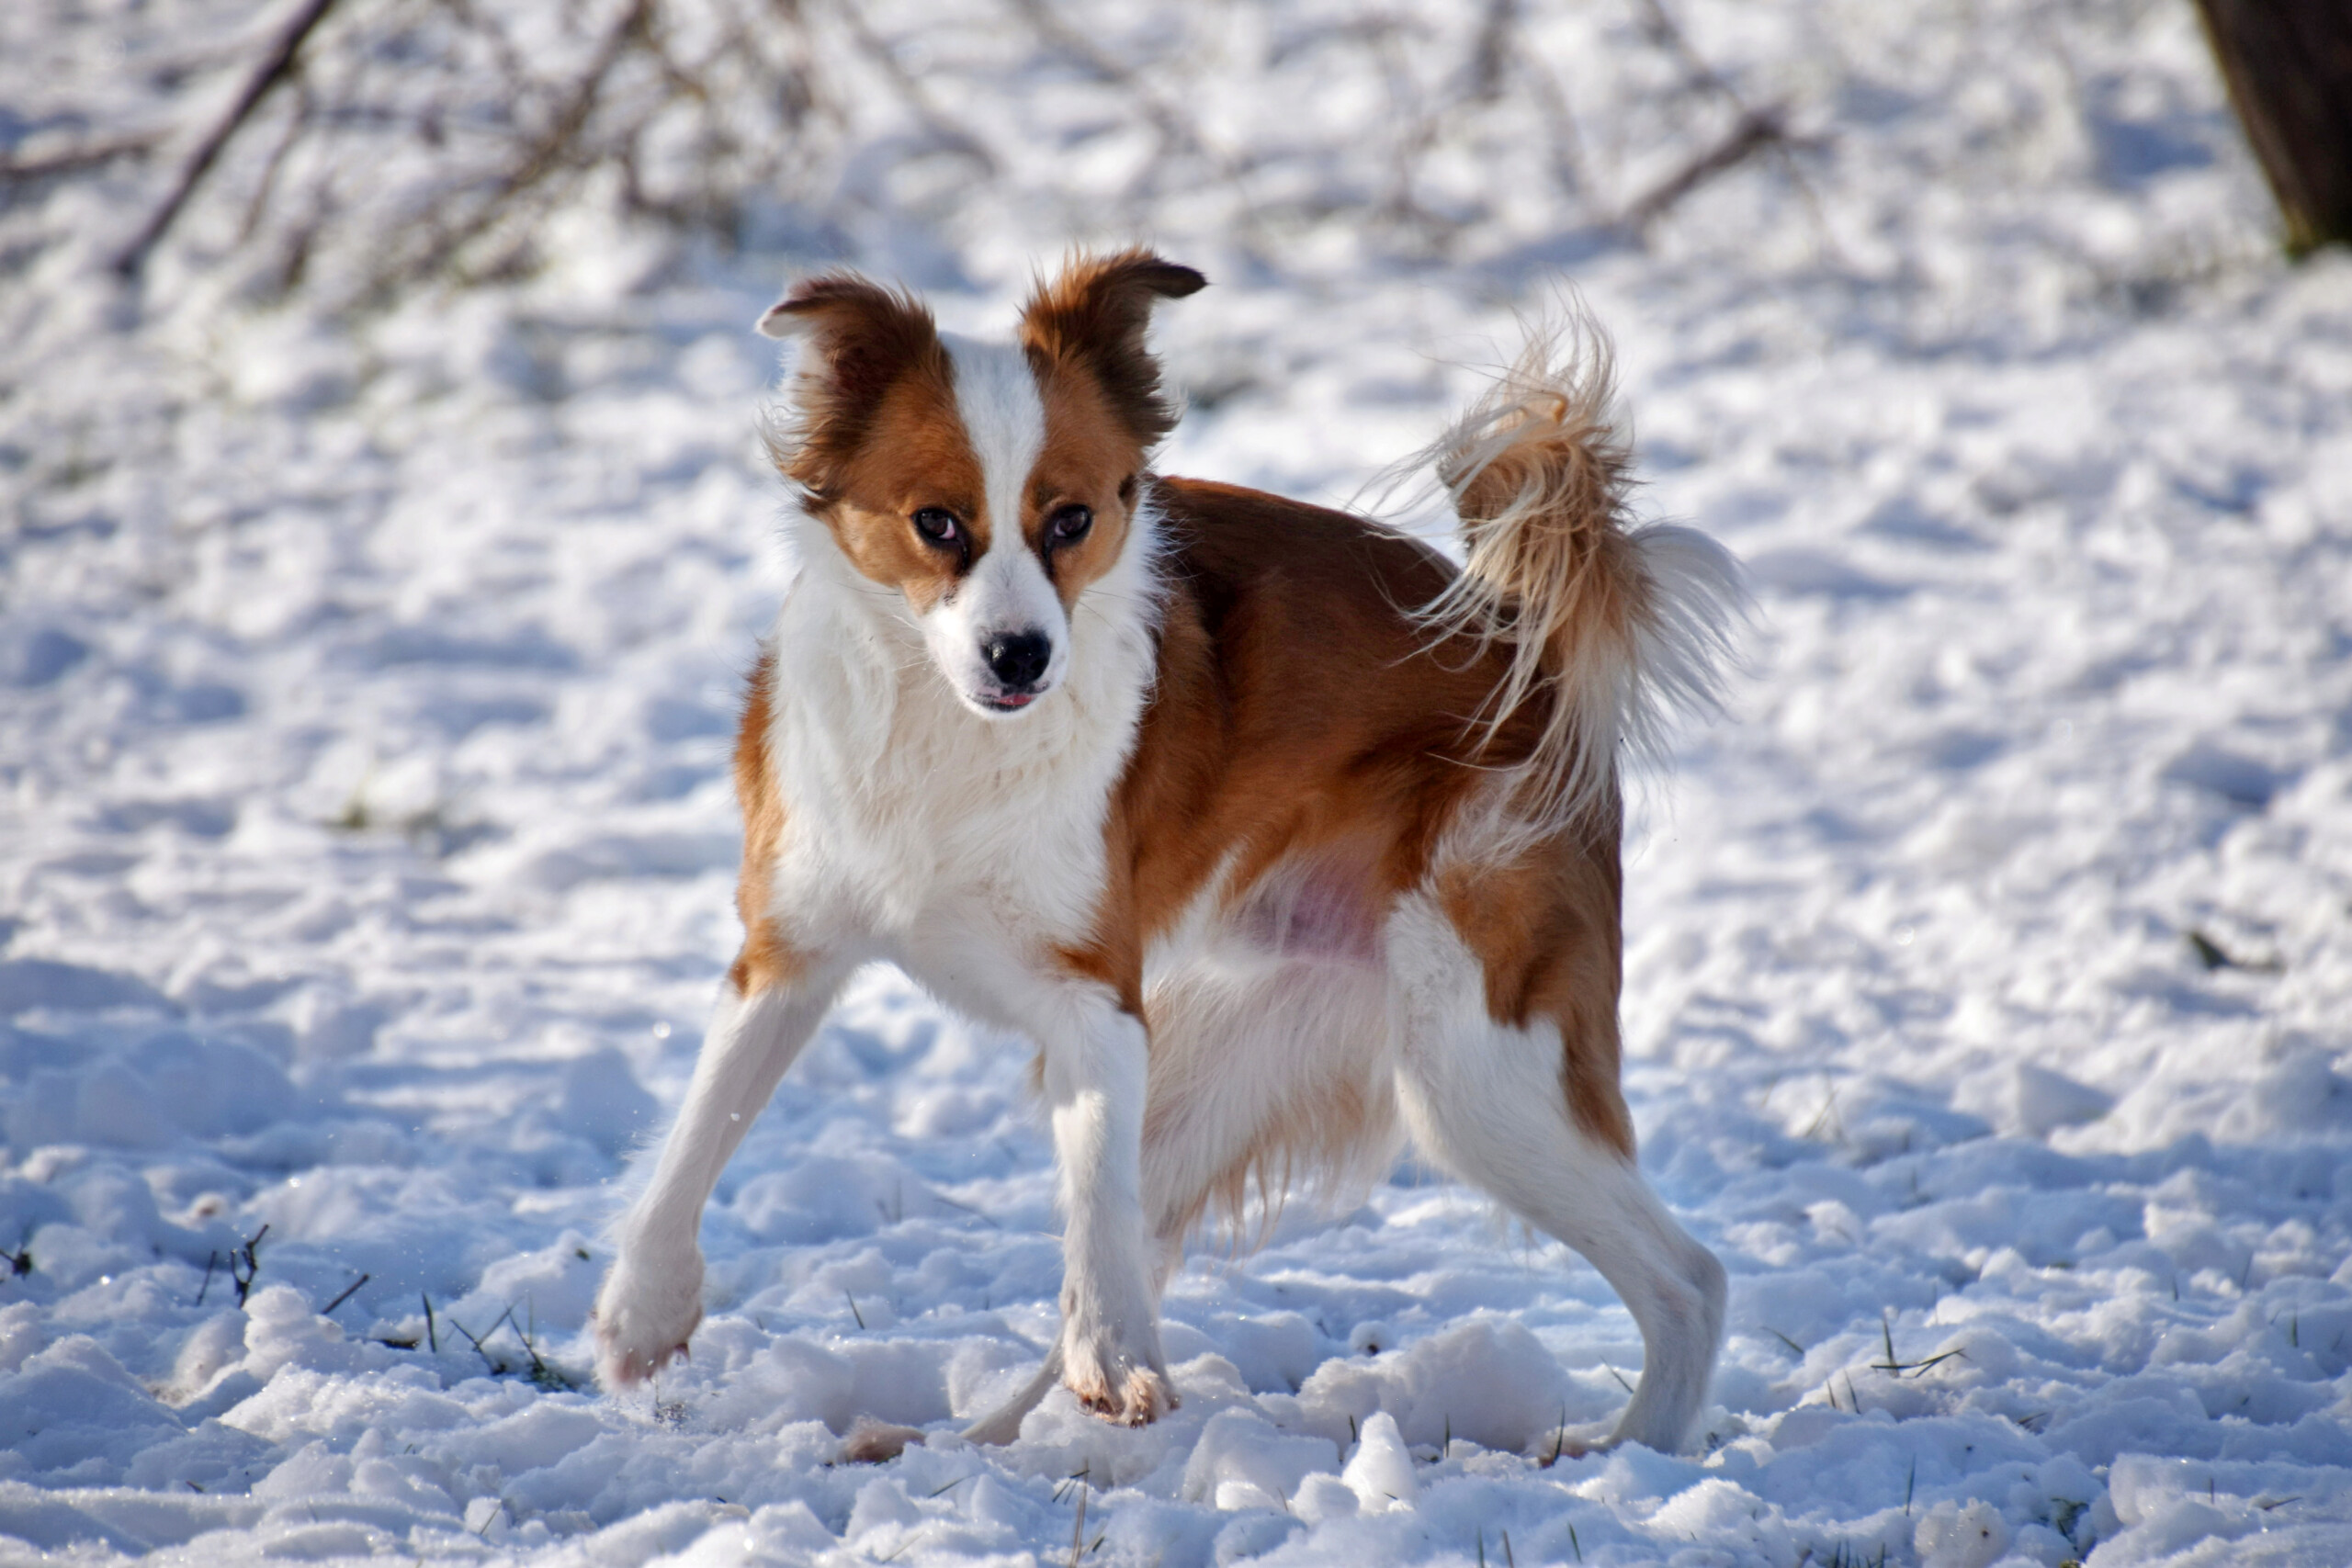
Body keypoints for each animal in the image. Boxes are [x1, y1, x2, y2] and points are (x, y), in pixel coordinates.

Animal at [588, 247, 1740, 1457]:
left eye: (1071, 518)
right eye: (937, 523)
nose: (1021, 654)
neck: (948, 726)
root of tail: (1530, 655)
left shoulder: (1097, 999)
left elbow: (1093, 1205)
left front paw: (1117, 1362)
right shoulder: (791, 949)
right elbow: (698, 1130)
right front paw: (641, 1315)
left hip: (1475, 1064)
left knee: (1691, 1281)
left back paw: (1631, 1454)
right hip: (1230, 1055)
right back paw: (989, 1441)